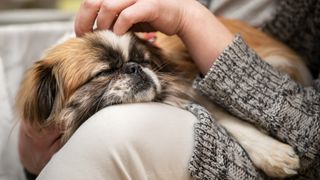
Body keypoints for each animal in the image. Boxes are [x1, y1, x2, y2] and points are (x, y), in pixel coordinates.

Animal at [15, 17, 312, 178]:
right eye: (105, 71)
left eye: (142, 60)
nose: (135, 68)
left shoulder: (190, 88)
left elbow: (226, 118)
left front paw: (272, 153)